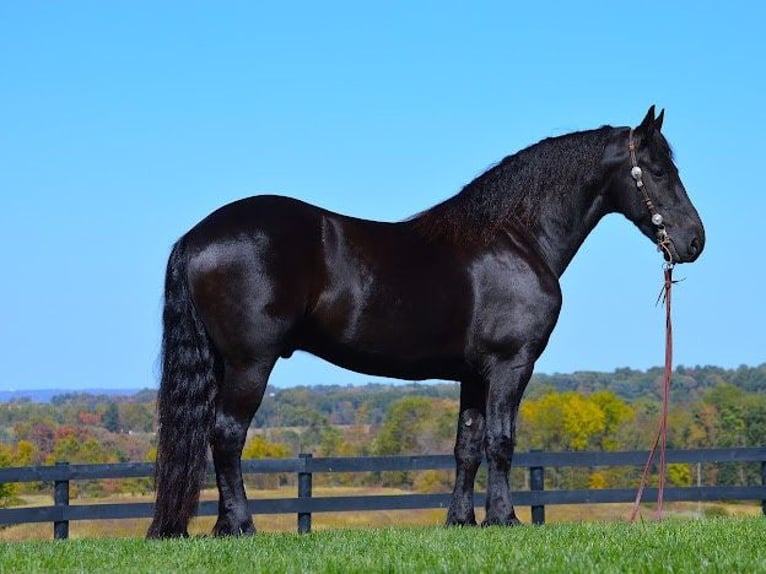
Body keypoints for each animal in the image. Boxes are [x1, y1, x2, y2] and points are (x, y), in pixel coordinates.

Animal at [147, 108, 704, 540]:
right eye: (657, 171)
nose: (695, 241)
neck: (516, 238)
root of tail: (196, 237)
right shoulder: (510, 365)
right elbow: (502, 441)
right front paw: (505, 519)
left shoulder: (473, 374)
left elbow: (468, 447)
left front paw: (462, 521)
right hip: (250, 363)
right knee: (227, 434)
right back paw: (240, 526)